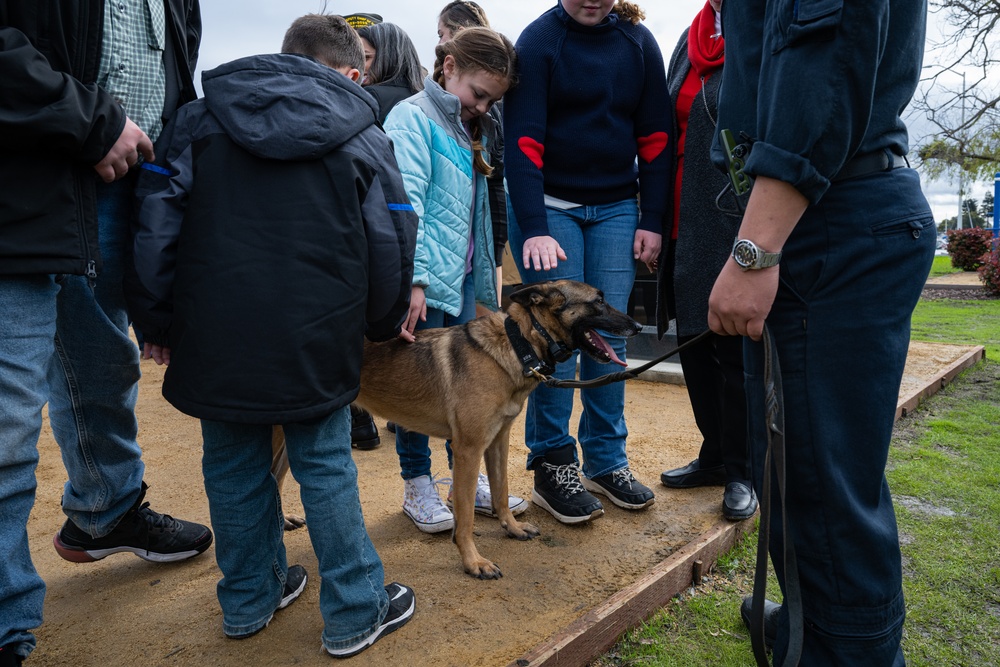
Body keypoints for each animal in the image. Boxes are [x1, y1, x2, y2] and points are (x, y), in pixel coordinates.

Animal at [270, 280, 640, 580]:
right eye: (598, 301)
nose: (637, 326)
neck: (517, 343)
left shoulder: (497, 442)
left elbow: (501, 491)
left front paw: (511, 527)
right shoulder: (468, 450)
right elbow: (465, 517)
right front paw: (473, 562)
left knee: (275, 481)